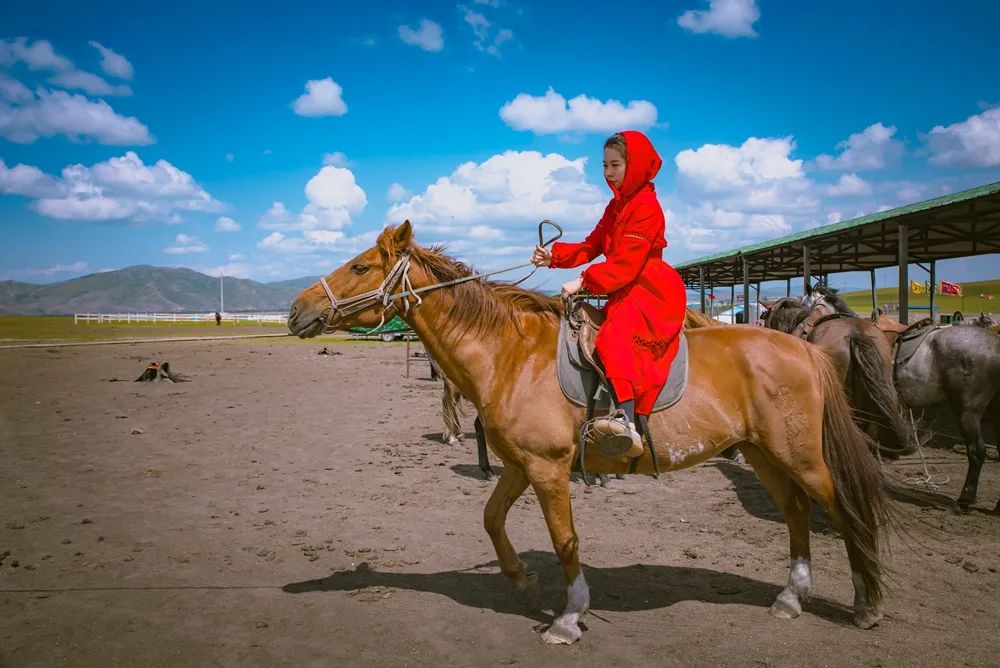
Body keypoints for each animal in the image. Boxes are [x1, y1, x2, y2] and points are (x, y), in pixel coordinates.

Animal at [288, 223, 892, 640]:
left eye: (361, 267)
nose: (296, 311)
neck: (510, 355)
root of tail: (807, 349)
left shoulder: (549, 468)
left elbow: (565, 539)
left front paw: (568, 616)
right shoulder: (520, 464)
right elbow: (490, 518)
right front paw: (521, 581)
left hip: (801, 457)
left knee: (841, 509)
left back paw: (866, 604)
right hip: (762, 453)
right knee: (795, 512)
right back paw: (791, 597)